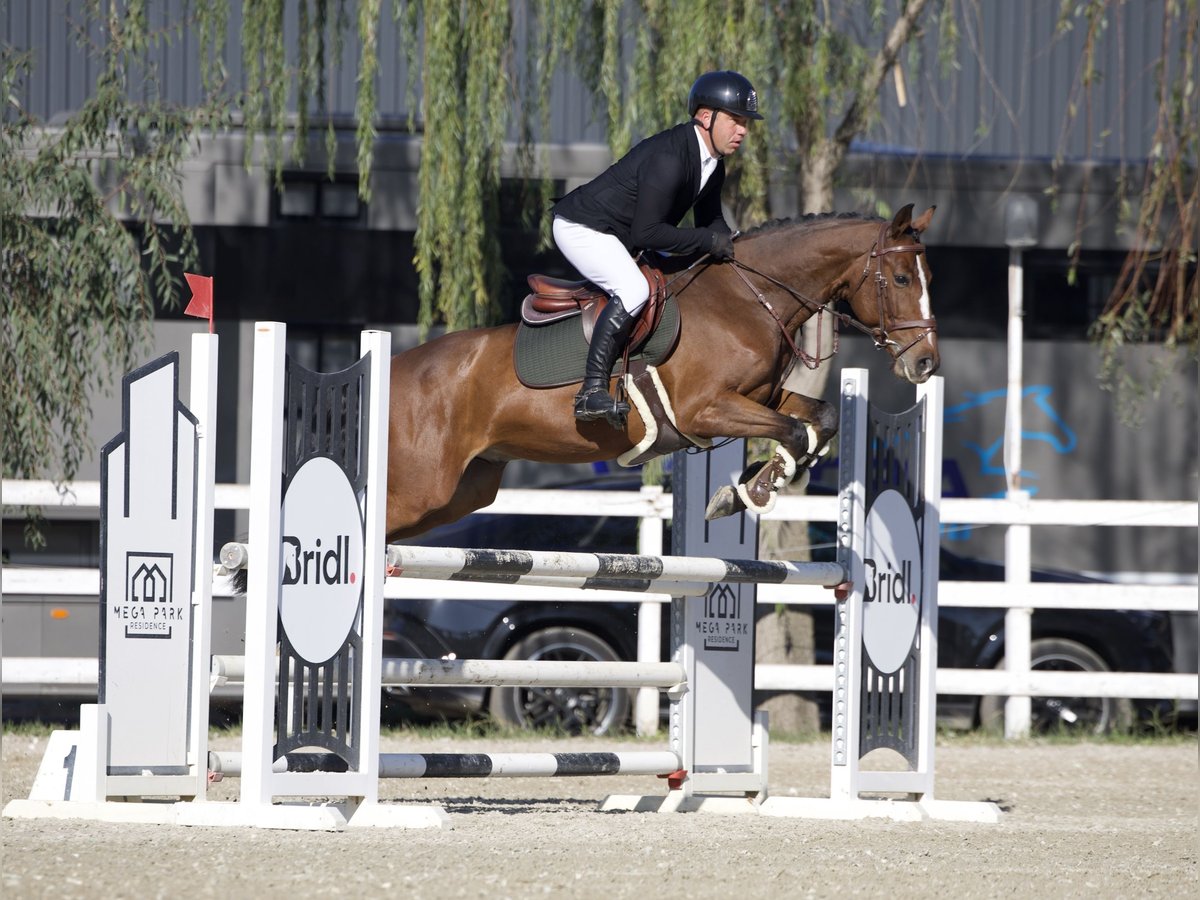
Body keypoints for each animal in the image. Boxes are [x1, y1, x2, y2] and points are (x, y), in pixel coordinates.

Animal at [384, 205, 936, 542]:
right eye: (901, 279)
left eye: (928, 277)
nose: (926, 362)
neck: (746, 301)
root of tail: (394, 367)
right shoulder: (705, 410)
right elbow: (795, 433)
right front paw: (747, 493)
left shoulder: (761, 395)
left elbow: (819, 419)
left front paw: (754, 488)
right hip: (422, 489)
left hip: (462, 493)